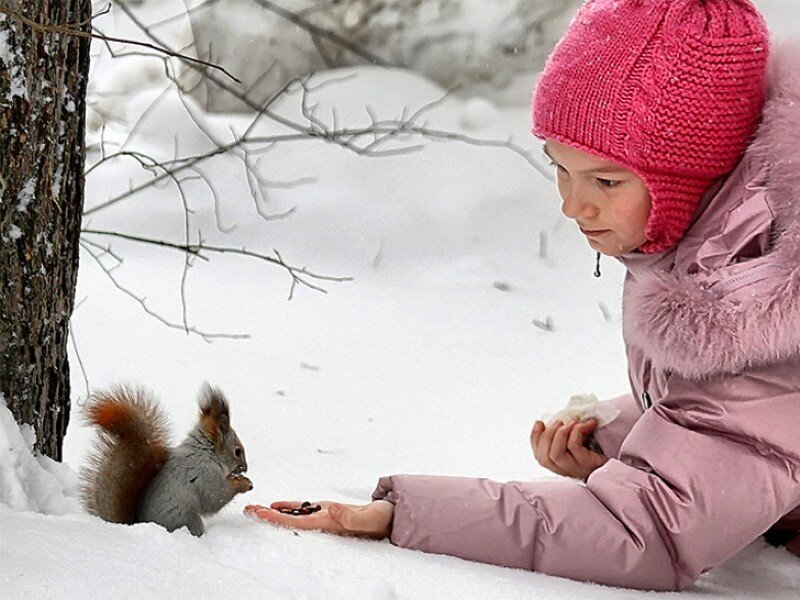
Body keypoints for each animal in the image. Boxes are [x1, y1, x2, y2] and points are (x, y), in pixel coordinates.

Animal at [80, 383, 253, 537]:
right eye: (237, 451)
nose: (245, 468)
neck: (205, 453)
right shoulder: (205, 475)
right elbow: (216, 497)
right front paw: (244, 483)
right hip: (187, 519)